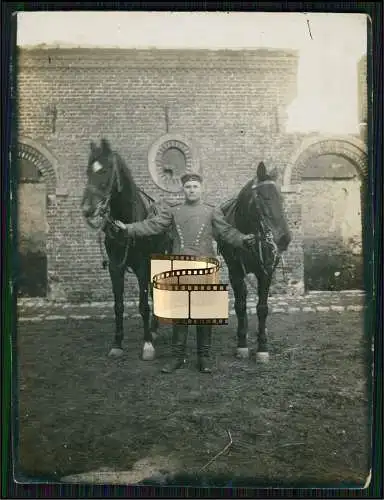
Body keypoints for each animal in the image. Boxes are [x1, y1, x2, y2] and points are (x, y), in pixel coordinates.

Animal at [80, 139, 171, 362]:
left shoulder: (142, 267)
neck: (127, 221)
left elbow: (143, 305)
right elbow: (118, 306)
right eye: (88, 171)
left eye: (105, 170)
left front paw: (147, 345)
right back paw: (154, 329)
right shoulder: (115, 267)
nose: (87, 209)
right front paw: (117, 344)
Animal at [218, 162, 292, 362]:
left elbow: (262, 308)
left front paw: (262, 347)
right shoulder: (235, 272)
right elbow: (240, 305)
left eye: (282, 199)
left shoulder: (266, 271)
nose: (284, 238)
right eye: (264, 198)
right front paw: (242, 344)